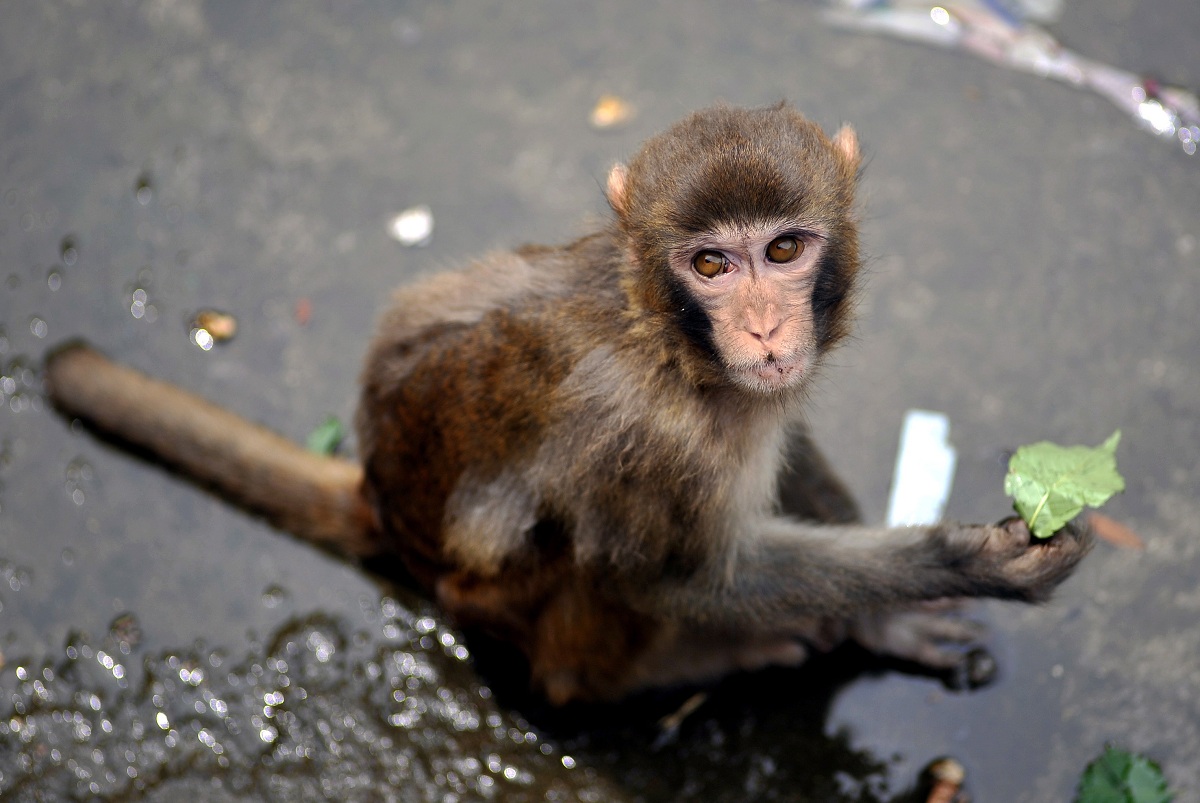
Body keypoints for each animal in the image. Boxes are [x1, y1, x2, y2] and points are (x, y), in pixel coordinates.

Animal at [46, 105, 1094, 700]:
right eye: (711, 265)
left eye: (785, 249)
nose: (762, 329)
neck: (671, 340)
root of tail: (380, 495)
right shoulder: (654, 438)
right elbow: (678, 579)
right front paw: (961, 560)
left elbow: (787, 436)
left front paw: (886, 623)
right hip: (498, 601)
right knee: (580, 562)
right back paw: (652, 672)